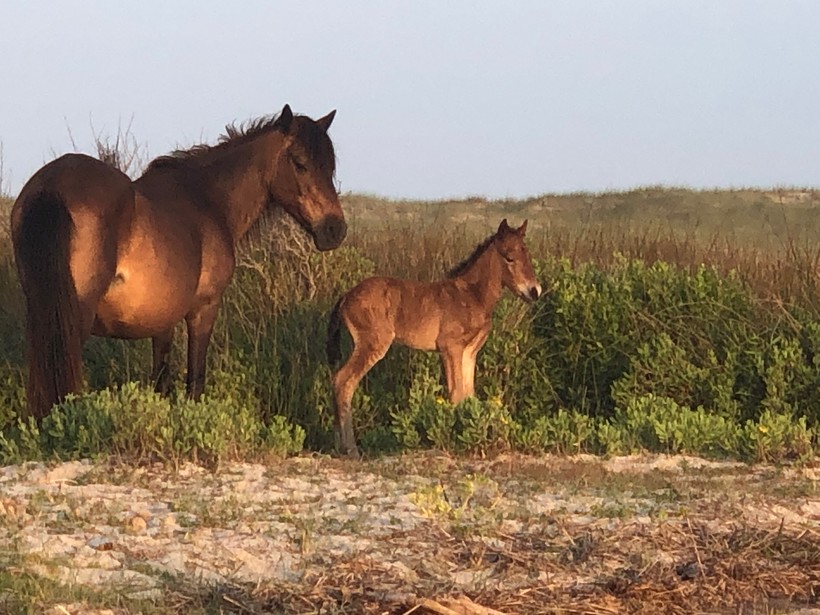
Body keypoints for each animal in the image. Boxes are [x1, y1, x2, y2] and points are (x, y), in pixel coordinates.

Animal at [12, 107, 346, 424]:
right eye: (300, 163)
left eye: (330, 167)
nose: (335, 229)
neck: (207, 201)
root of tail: (50, 185)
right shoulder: (203, 309)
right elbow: (194, 379)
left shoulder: (162, 322)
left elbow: (161, 381)